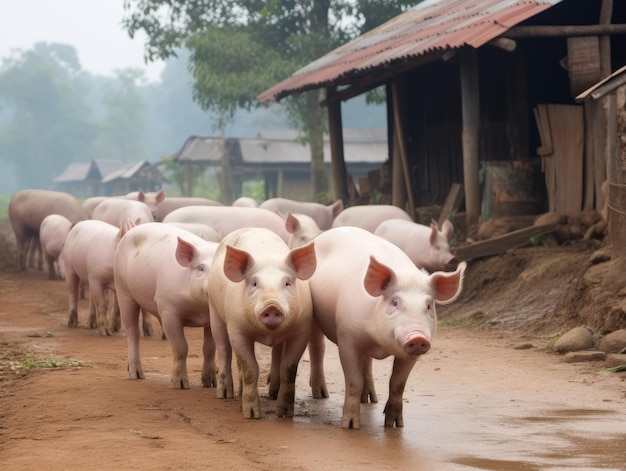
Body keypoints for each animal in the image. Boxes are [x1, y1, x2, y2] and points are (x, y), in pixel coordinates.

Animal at [113, 223, 218, 390]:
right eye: (201, 268)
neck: (200, 309)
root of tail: (131, 230)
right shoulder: (168, 309)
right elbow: (181, 347)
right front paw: (180, 385)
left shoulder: (210, 318)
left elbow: (209, 348)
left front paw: (210, 384)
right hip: (122, 289)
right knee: (132, 332)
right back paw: (137, 375)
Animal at [208, 229, 316, 420]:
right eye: (254, 283)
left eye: (287, 283)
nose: (272, 306)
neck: (269, 333)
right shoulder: (237, 329)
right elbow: (250, 368)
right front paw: (251, 415)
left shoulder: (302, 329)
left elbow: (289, 368)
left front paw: (284, 414)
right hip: (214, 311)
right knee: (223, 350)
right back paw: (226, 395)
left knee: (276, 353)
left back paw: (272, 392)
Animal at [308, 227, 464, 430]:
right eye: (395, 302)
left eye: (429, 306)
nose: (417, 337)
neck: (379, 343)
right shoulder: (347, 338)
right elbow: (353, 381)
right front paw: (350, 426)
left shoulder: (410, 355)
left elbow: (397, 384)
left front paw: (395, 425)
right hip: (314, 315)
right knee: (317, 349)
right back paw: (321, 395)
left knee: (367, 363)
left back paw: (370, 399)